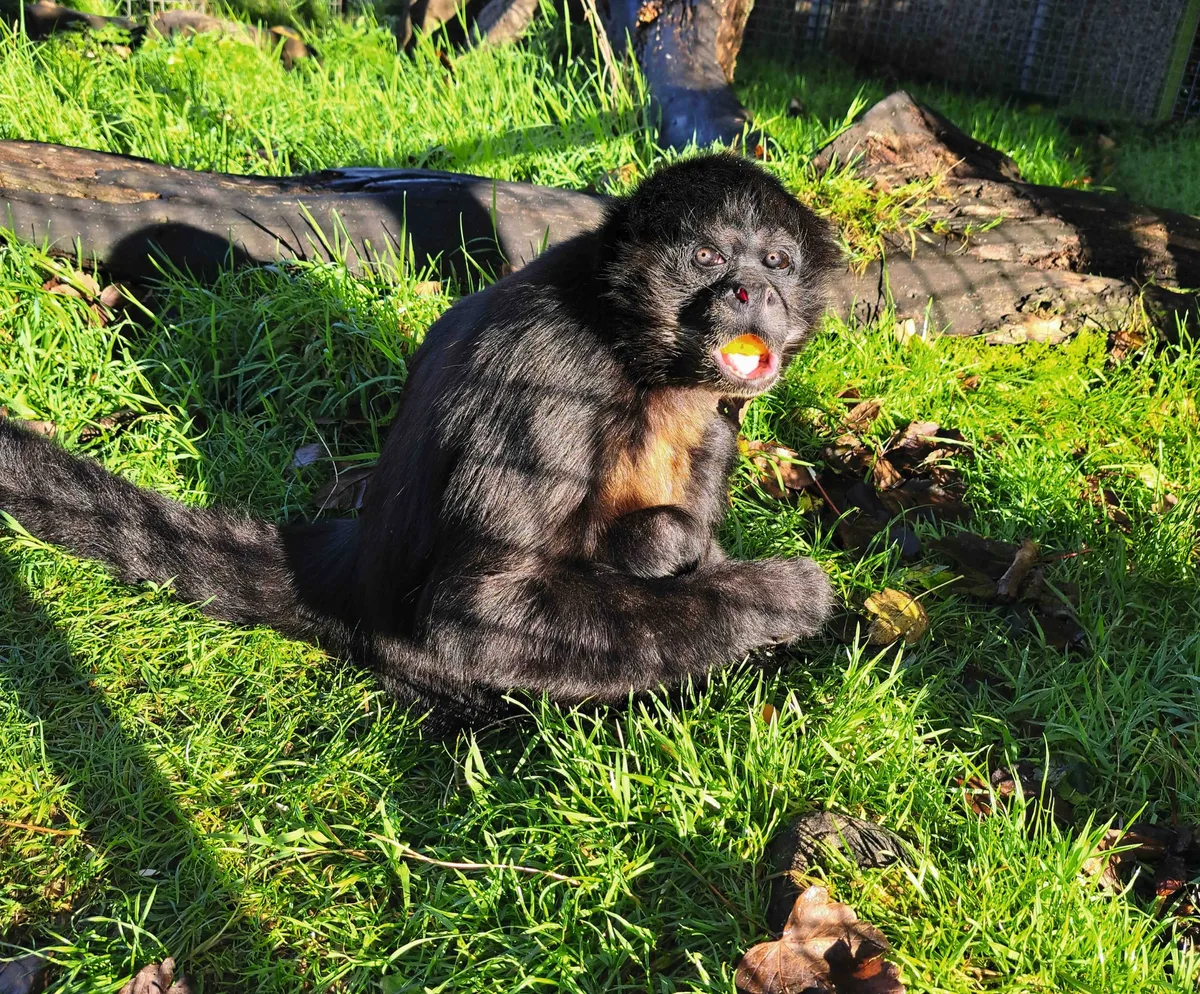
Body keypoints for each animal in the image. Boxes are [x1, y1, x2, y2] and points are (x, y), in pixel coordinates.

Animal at [0, 153, 839, 723]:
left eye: (776, 261)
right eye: (707, 258)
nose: (752, 291)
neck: (624, 337)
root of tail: (352, 565)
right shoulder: (547, 369)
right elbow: (477, 615)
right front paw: (776, 597)